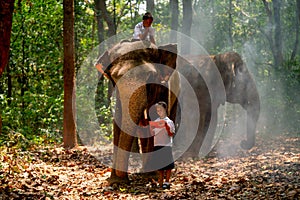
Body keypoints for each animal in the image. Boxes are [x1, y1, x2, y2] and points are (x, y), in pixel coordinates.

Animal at [96, 39, 178, 184]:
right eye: (115, 78)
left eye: (151, 76)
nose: (123, 177)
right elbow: (118, 119)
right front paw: (116, 181)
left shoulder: (163, 87)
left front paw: (151, 175)